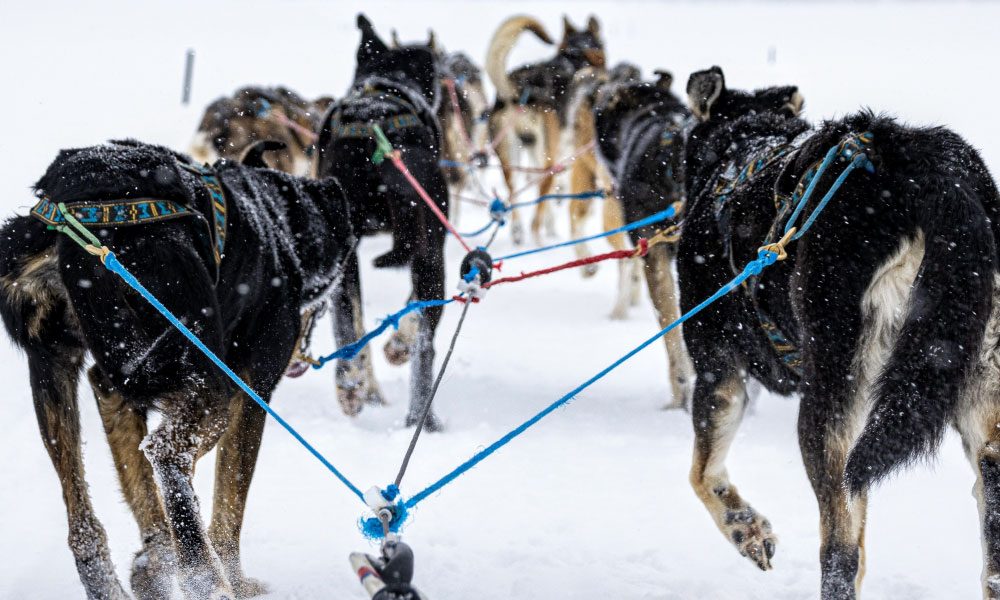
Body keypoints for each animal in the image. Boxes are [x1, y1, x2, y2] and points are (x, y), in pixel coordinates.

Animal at [0, 138, 354, 596]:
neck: (272, 220)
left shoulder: (111, 389)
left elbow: (142, 490)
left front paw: (154, 562)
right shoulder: (251, 389)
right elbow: (229, 502)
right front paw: (232, 578)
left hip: (59, 369)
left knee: (85, 523)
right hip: (206, 376)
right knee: (167, 453)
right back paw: (206, 577)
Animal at [316, 14, 450, 426]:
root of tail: (383, 143)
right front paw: (397, 347)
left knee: (348, 330)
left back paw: (351, 386)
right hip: (431, 253)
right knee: (424, 346)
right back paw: (421, 418)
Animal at [680, 65, 1000, 600]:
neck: (738, 154)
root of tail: (924, 169)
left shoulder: (716, 371)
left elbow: (702, 474)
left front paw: (746, 528)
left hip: (831, 402)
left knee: (839, 555)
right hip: (974, 403)